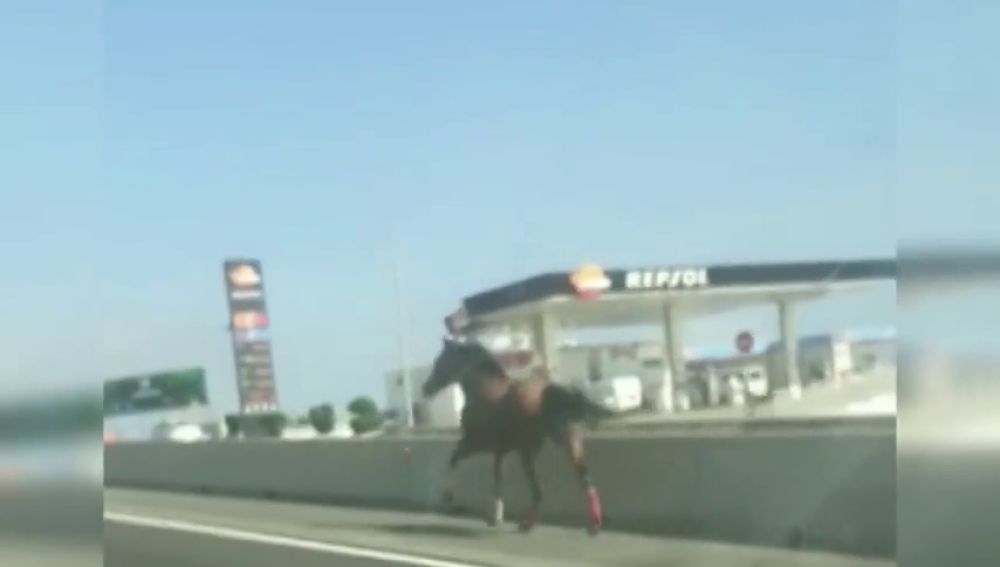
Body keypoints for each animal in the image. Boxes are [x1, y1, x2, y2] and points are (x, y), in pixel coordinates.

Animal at [420, 338, 608, 536]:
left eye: (440, 361)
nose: (426, 388)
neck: (483, 391)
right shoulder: (499, 450)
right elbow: (494, 476)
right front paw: (495, 516)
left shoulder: (476, 443)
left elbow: (455, 460)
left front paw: (450, 496)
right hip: (557, 446)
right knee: (569, 482)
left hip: (543, 448)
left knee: (556, 486)